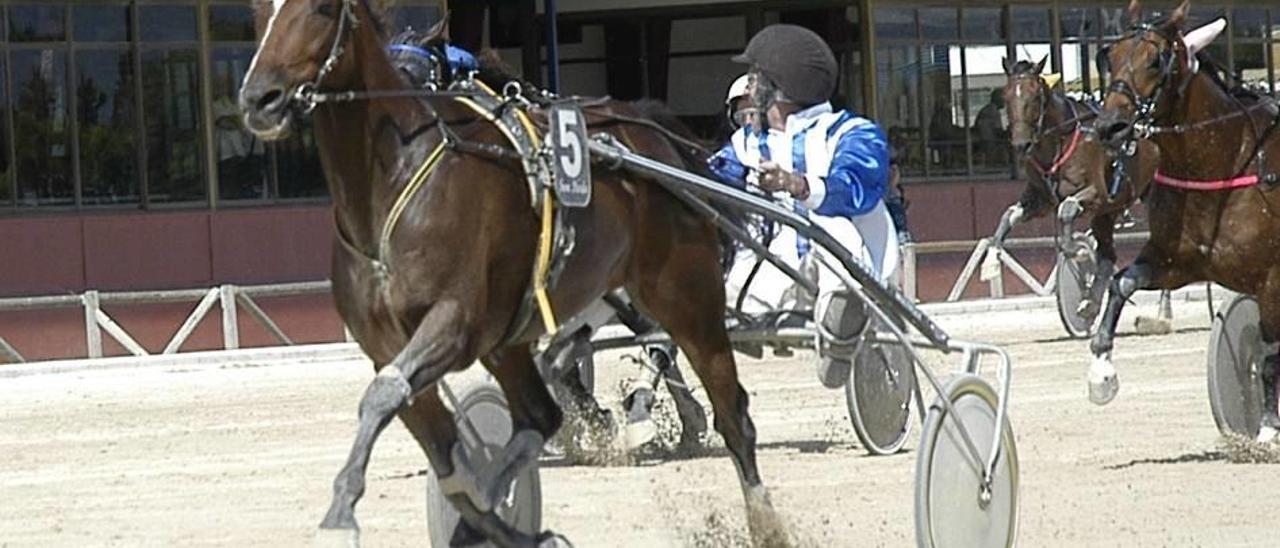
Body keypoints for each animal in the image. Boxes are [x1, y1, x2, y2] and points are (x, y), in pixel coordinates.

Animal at [235, 2, 783, 545]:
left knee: (728, 409)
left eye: (322, 9)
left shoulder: (453, 323)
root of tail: (651, 137)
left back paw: (761, 517)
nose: (259, 98)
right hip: (515, 338)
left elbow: (383, 397)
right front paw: (497, 521)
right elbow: (446, 460)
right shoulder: (389, 346)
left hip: (685, 295)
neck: (390, 184)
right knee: (542, 412)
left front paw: (340, 513)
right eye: (259, 10)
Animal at [1090, 0, 1280, 440]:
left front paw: (1266, 430)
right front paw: (1101, 374)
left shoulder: (1271, 278)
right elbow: (1120, 284)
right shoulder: (1176, 262)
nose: (1110, 127)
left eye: (1155, 60)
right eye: (1110, 55)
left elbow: (1268, 353)